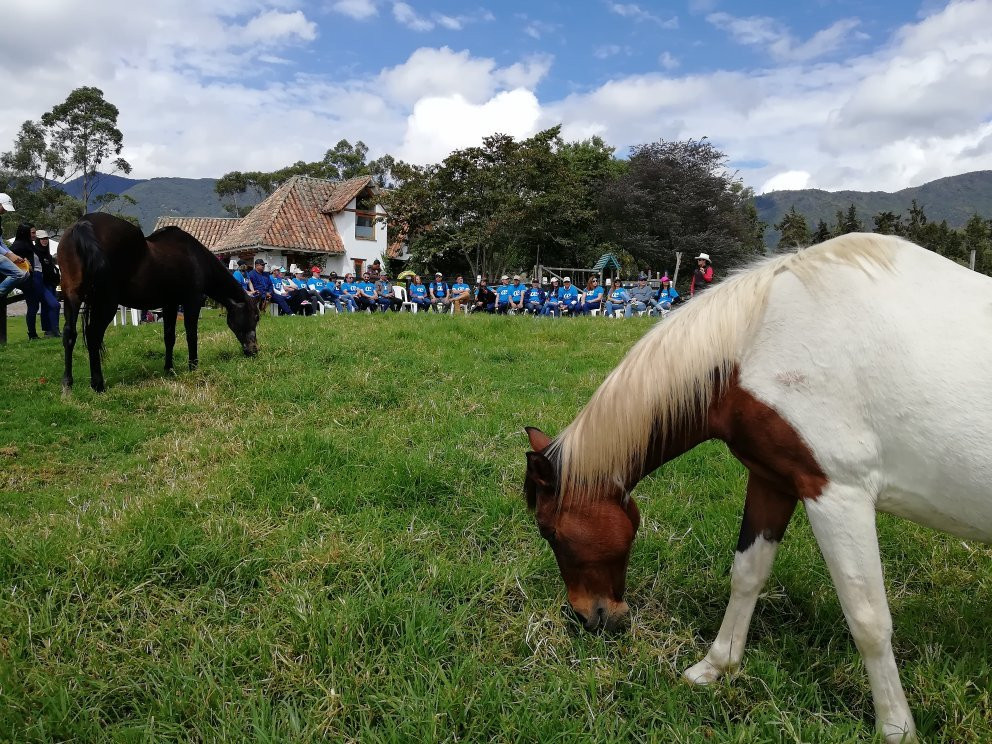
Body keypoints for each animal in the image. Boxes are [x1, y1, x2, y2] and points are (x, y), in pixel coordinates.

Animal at [56, 212, 260, 392]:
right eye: (256, 317)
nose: (254, 350)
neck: (196, 257)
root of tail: (84, 224)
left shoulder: (170, 305)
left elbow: (169, 337)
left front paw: (169, 369)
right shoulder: (192, 302)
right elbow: (191, 335)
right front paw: (193, 367)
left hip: (72, 297)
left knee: (70, 334)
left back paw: (67, 383)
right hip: (106, 303)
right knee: (93, 336)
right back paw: (97, 384)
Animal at [524, 234, 988, 744]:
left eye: (549, 532)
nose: (589, 617)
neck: (759, 338)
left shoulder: (837, 495)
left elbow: (868, 619)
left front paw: (896, 726)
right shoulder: (774, 480)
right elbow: (747, 574)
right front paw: (715, 666)